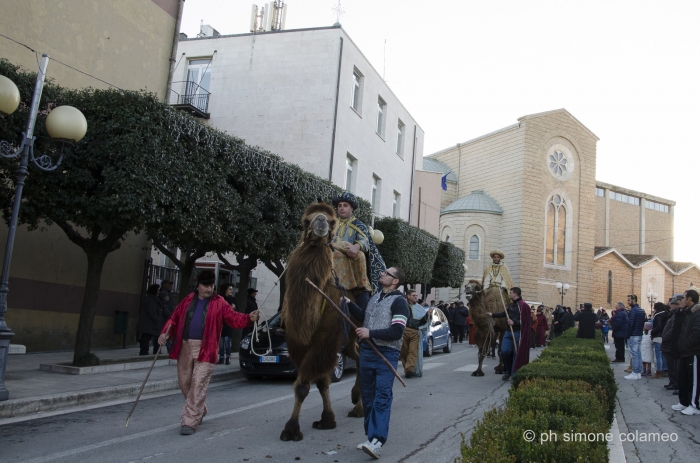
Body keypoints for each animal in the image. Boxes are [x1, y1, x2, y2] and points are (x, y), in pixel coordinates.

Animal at [278, 203, 360, 442]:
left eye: (332, 222)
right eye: (306, 219)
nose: (322, 221)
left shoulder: (325, 339)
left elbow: (306, 384)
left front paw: (291, 428)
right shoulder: (297, 341)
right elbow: (318, 382)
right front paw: (326, 419)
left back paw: (359, 406)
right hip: (349, 340)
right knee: (359, 357)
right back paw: (356, 400)